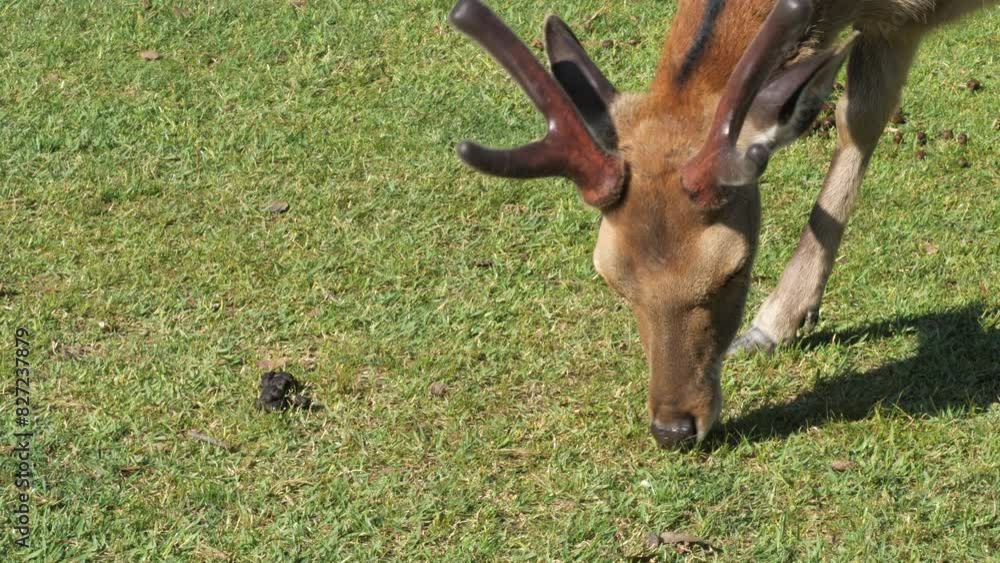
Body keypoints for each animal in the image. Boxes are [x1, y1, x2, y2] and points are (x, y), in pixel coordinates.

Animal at [450, 1, 996, 450]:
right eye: (612, 279)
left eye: (735, 270)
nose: (673, 430)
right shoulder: (894, 27)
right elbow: (859, 118)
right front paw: (776, 324)